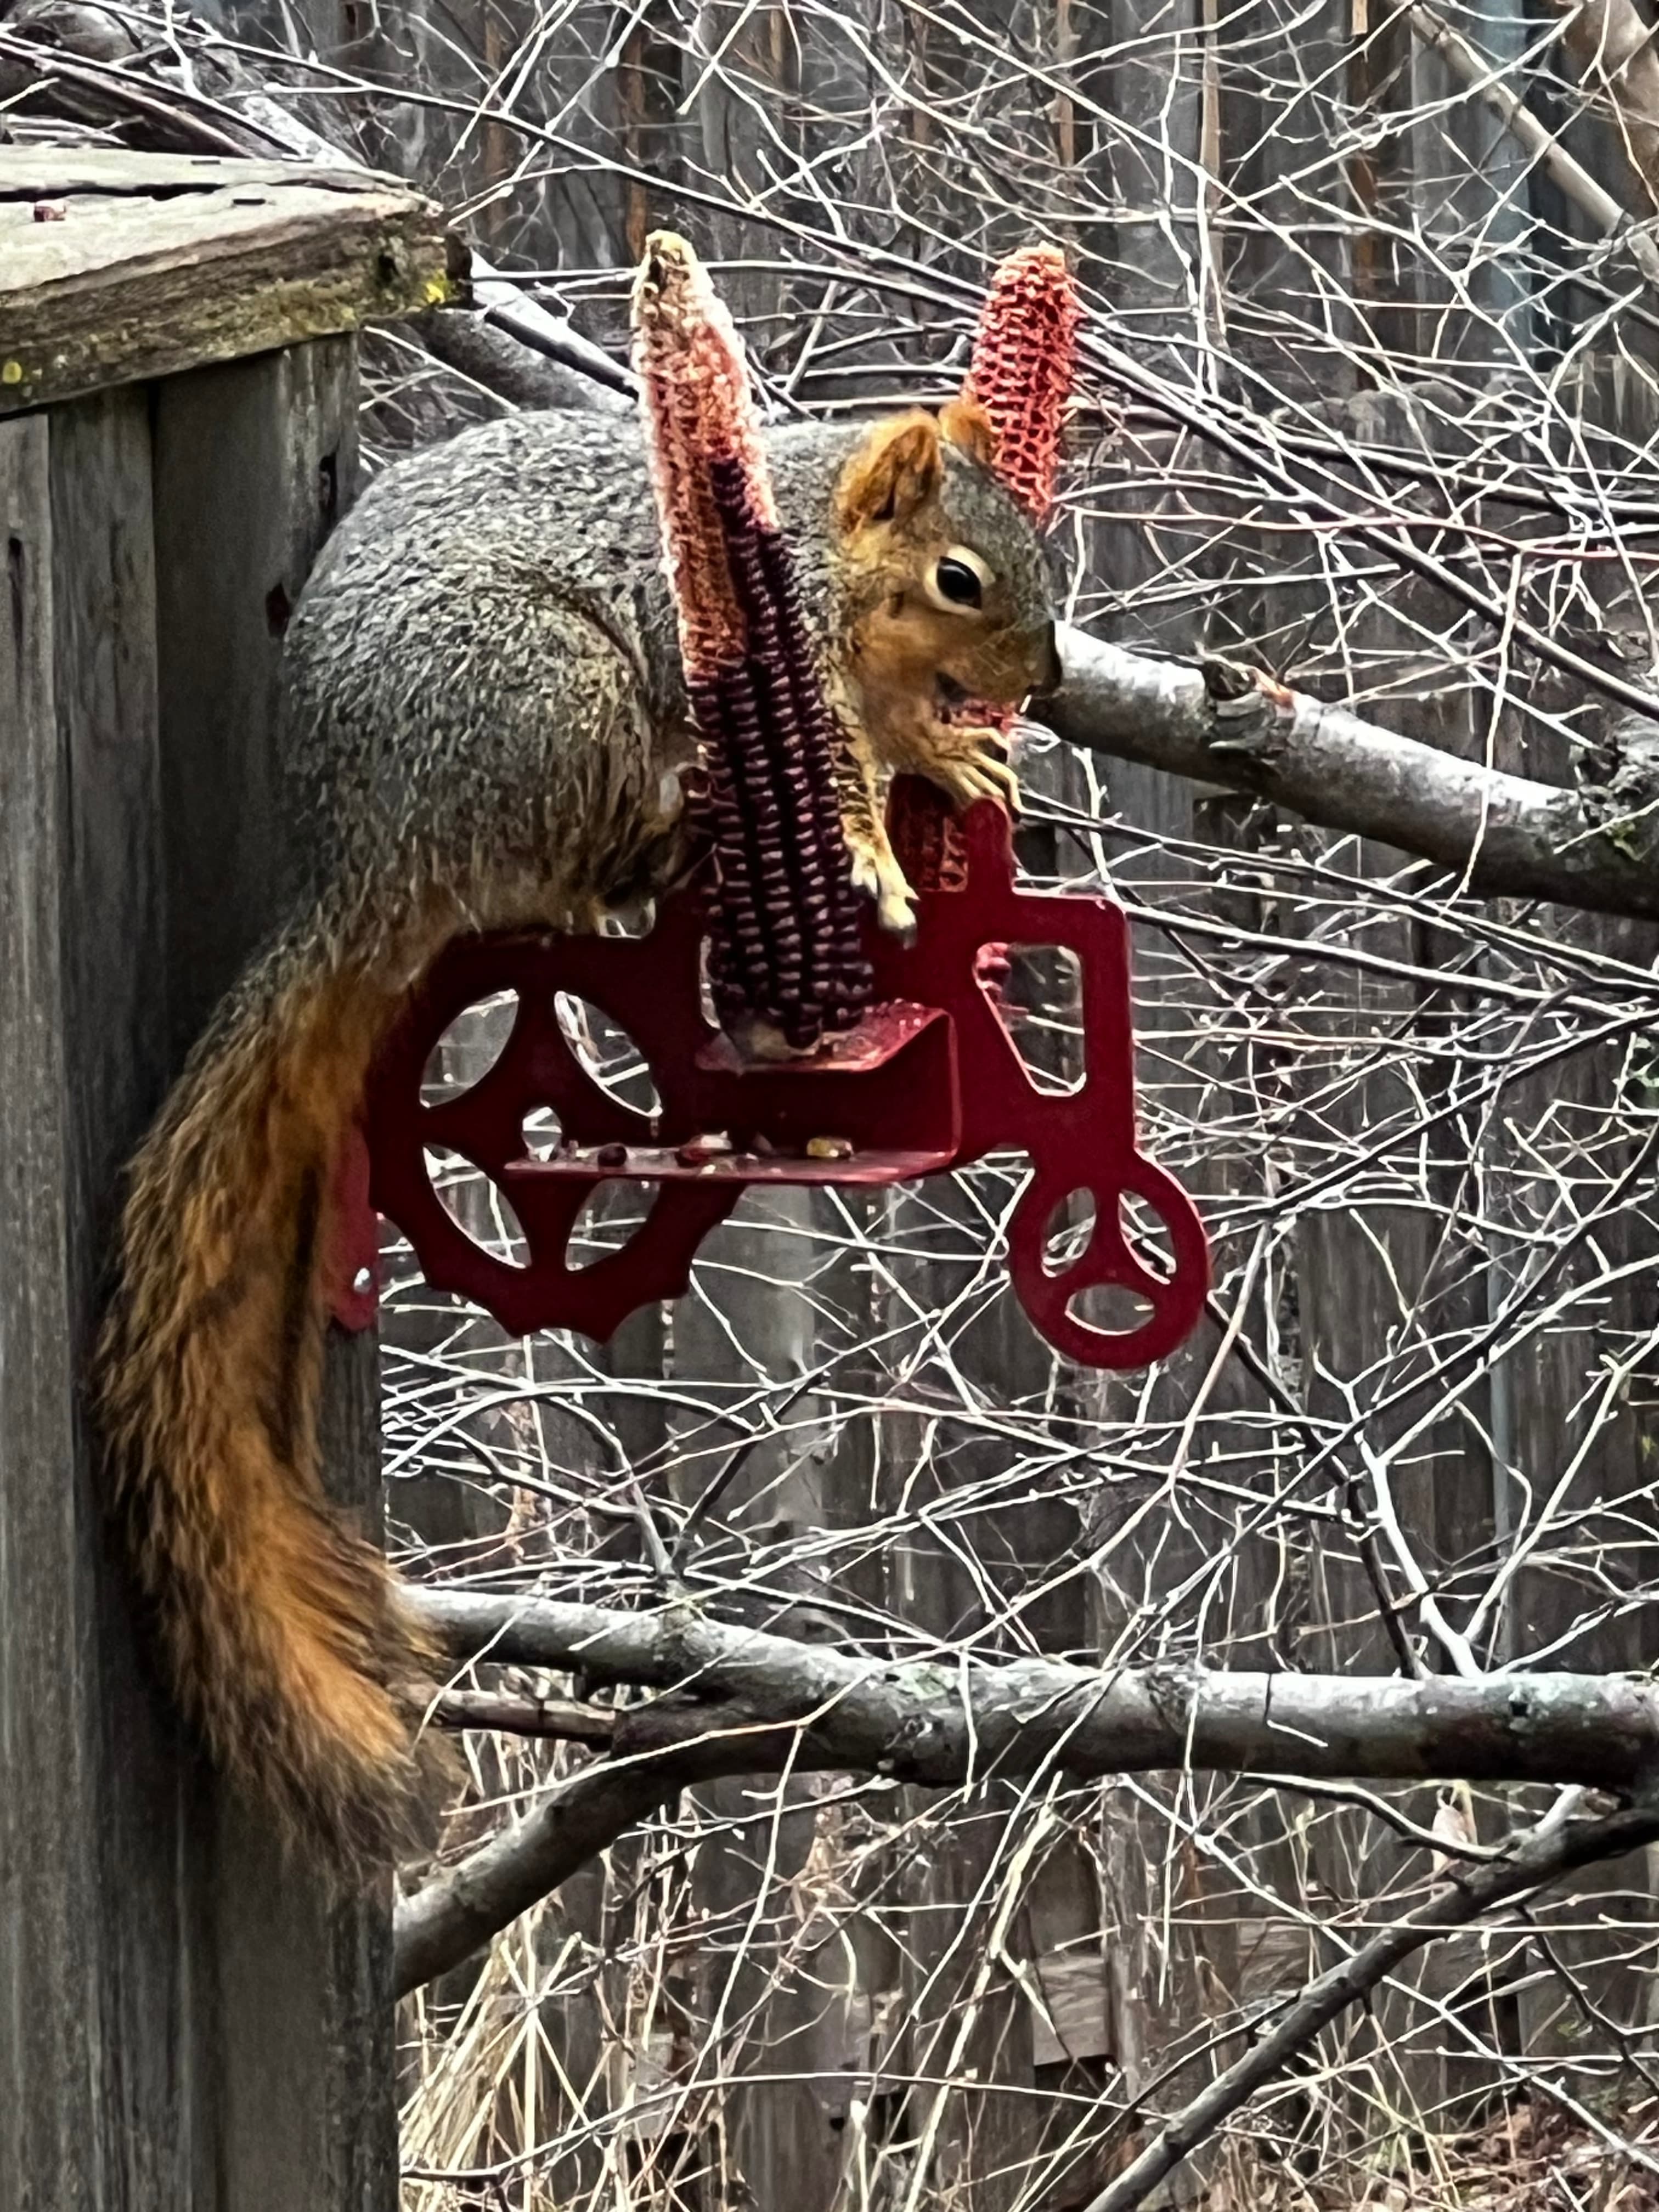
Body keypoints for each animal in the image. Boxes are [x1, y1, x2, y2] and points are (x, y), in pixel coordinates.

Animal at [92, 394, 1060, 1873]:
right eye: (962, 577)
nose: (1052, 676)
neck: (812, 533)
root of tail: (360, 868)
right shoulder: (782, 656)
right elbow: (838, 771)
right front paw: (872, 854)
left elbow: (896, 732)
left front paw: (950, 754)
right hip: (552, 696)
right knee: (569, 858)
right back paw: (674, 834)